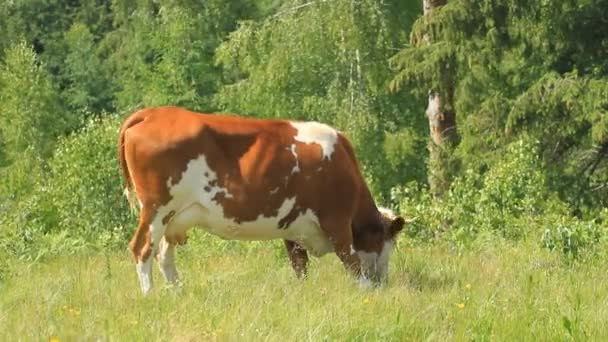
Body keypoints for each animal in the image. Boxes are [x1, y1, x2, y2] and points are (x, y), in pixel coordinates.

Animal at [117, 106, 406, 294]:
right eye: (386, 243)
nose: (383, 282)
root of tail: (152, 113)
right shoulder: (337, 221)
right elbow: (352, 261)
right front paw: (365, 290)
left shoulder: (293, 228)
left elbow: (299, 266)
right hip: (156, 209)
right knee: (143, 249)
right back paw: (150, 296)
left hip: (175, 218)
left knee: (164, 255)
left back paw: (177, 293)